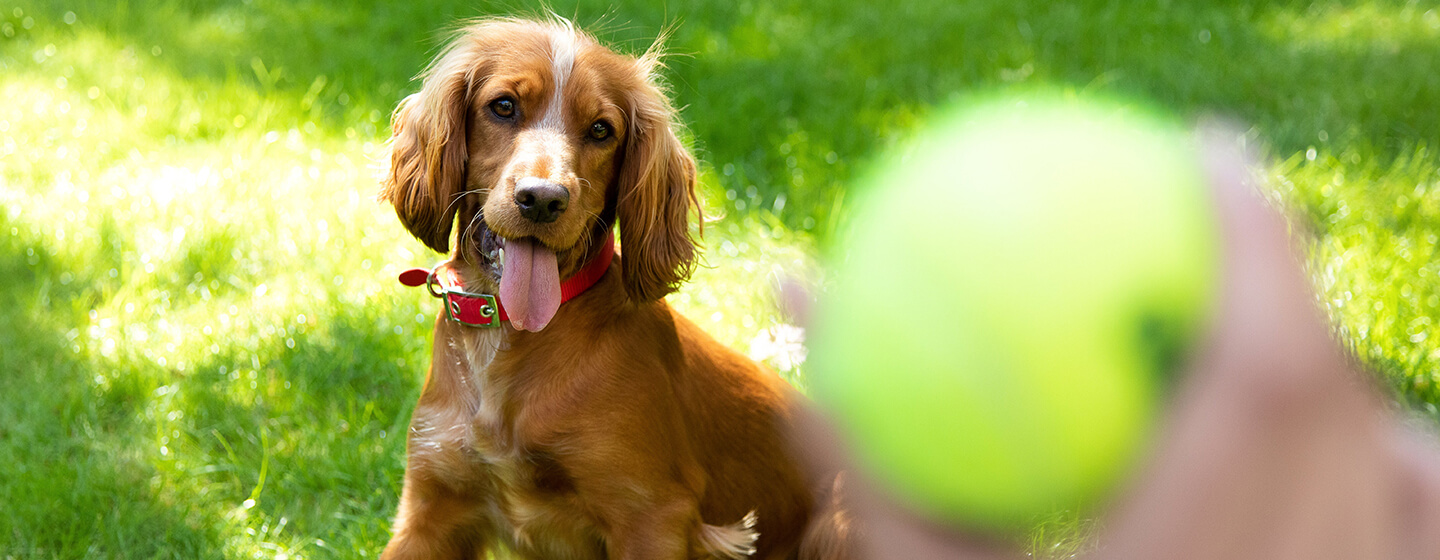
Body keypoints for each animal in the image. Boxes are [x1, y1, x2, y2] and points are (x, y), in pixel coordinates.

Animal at [380, 17, 840, 558]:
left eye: (601, 130)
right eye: (503, 106)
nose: (542, 200)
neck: (513, 337)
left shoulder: (652, 514)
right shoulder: (431, 507)